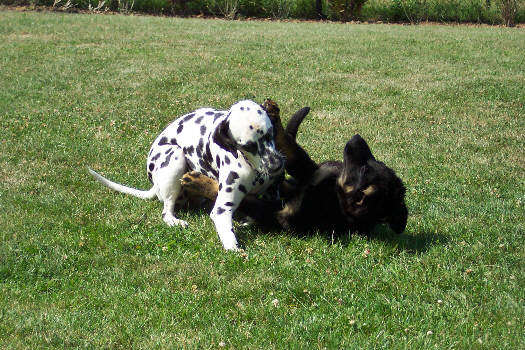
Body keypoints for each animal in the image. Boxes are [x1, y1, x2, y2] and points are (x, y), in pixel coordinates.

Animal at [87, 100, 282, 250]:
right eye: (248, 145)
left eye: (270, 133)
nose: (277, 166)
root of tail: (154, 185)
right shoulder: (221, 210)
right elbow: (229, 236)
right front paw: (235, 249)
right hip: (175, 157)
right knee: (166, 212)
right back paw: (175, 220)